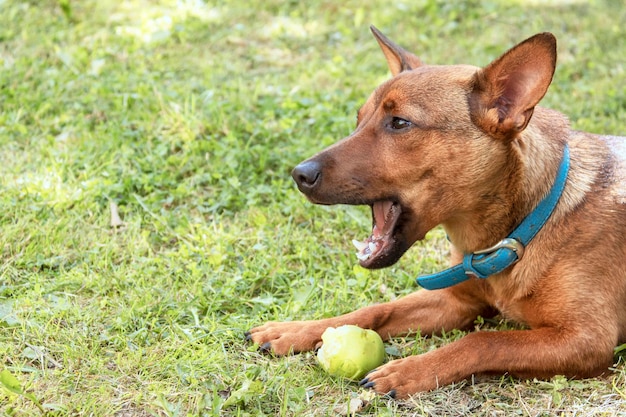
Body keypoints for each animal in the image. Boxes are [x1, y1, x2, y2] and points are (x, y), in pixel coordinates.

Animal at [246, 27, 620, 398]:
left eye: (399, 123)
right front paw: (297, 330)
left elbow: (483, 340)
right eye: (358, 120)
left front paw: (407, 370)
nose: (299, 175)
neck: (521, 228)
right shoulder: (456, 301)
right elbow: (376, 309)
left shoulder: (586, 339)